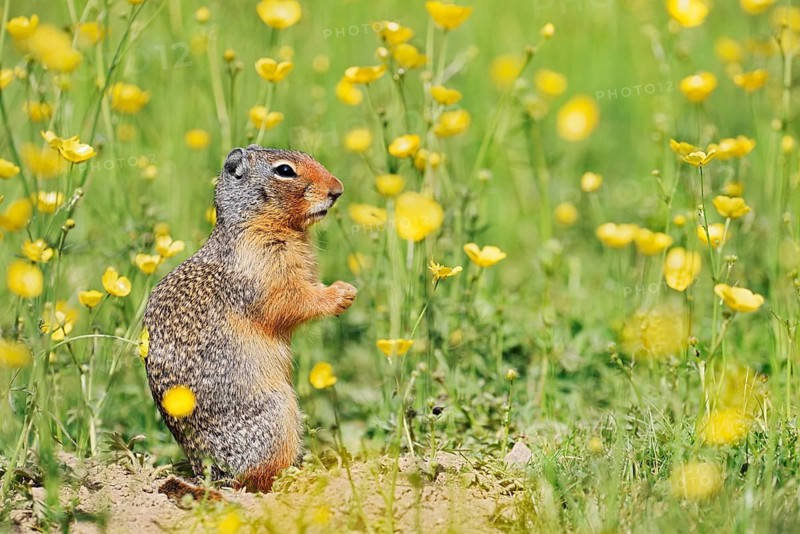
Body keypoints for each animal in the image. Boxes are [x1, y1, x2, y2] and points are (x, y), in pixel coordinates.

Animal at [143, 145, 356, 492]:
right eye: (285, 170)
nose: (337, 190)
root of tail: (212, 476)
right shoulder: (265, 266)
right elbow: (292, 298)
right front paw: (342, 293)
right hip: (279, 414)